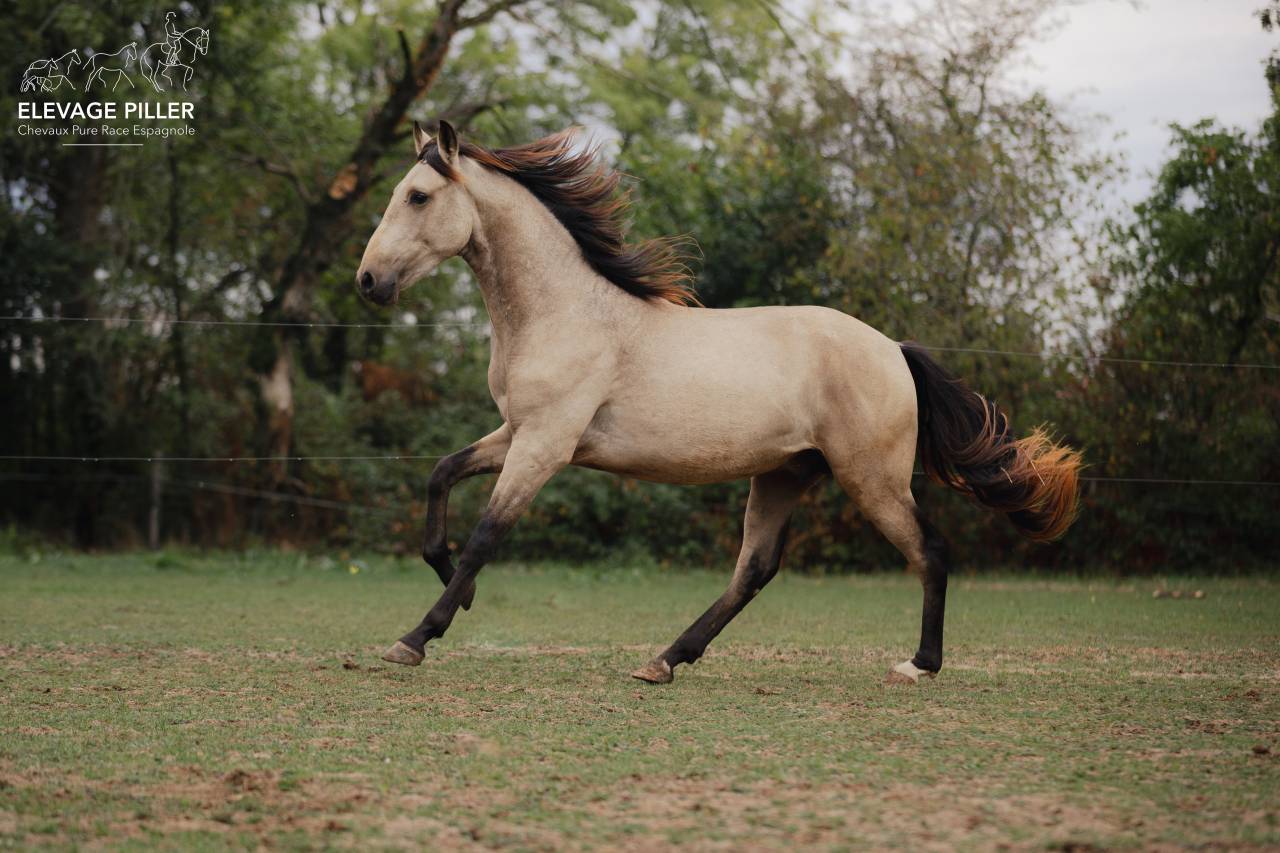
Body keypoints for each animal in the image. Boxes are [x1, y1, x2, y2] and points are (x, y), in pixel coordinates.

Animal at [356, 121, 1083, 686]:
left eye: (417, 195)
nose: (368, 281)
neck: (567, 313)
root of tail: (894, 350)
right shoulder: (517, 432)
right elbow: (440, 475)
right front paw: (456, 588)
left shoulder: (546, 445)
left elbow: (487, 533)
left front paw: (415, 638)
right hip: (786, 473)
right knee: (753, 570)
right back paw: (664, 660)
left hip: (870, 478)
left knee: (928, 549)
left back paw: (919, 664)